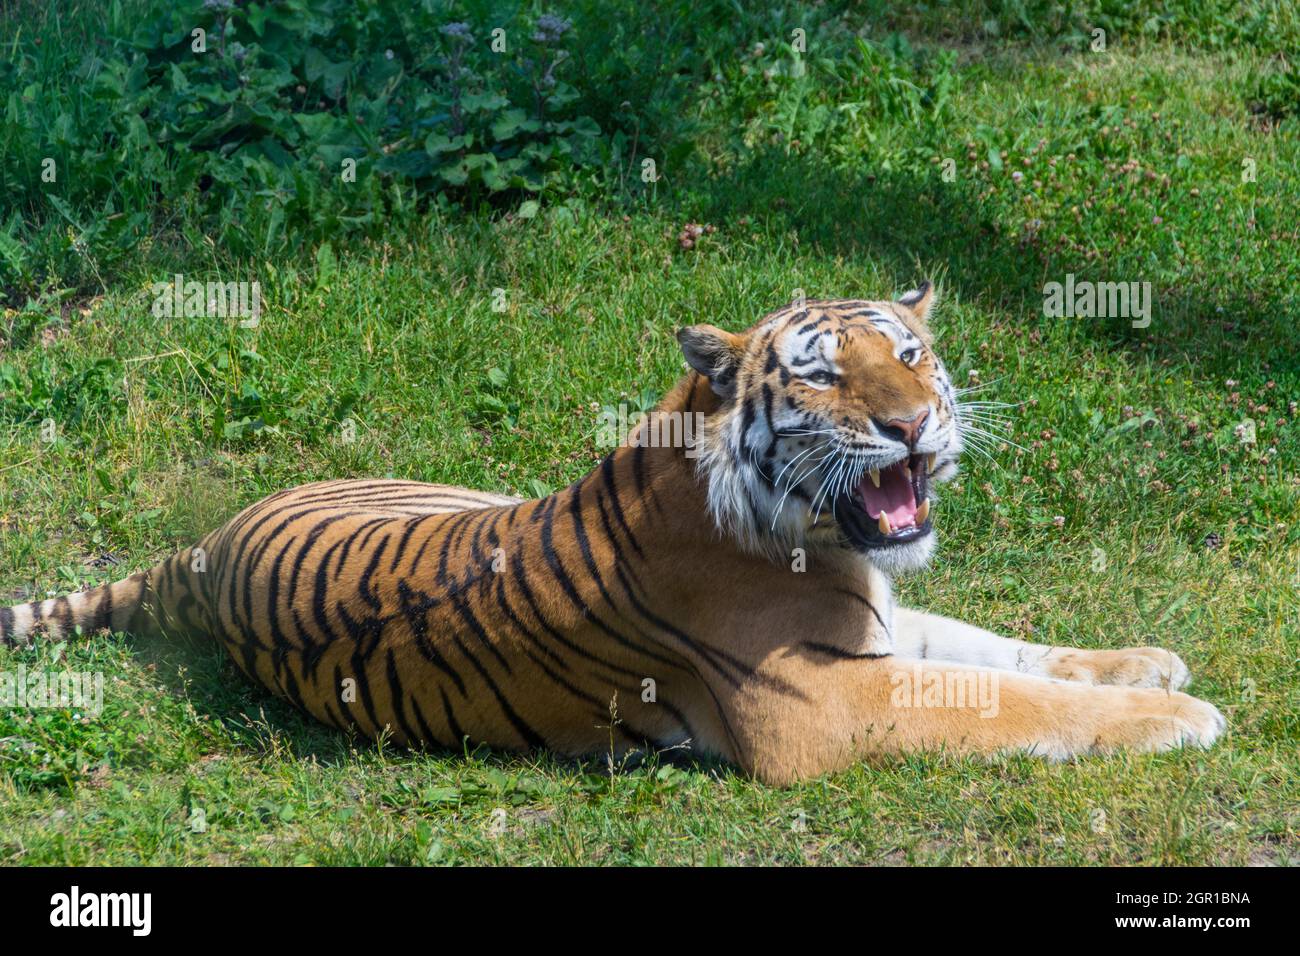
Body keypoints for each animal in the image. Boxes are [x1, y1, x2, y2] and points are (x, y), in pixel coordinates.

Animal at [0, 284, 1224, 784]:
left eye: (910, 355)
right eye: (826, 375)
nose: (912, 422)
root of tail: (202, 554)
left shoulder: (876, 625)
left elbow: (1001, 648)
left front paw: (1148, 660)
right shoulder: (822, 704)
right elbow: (1007, 698)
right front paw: (1180, 715)